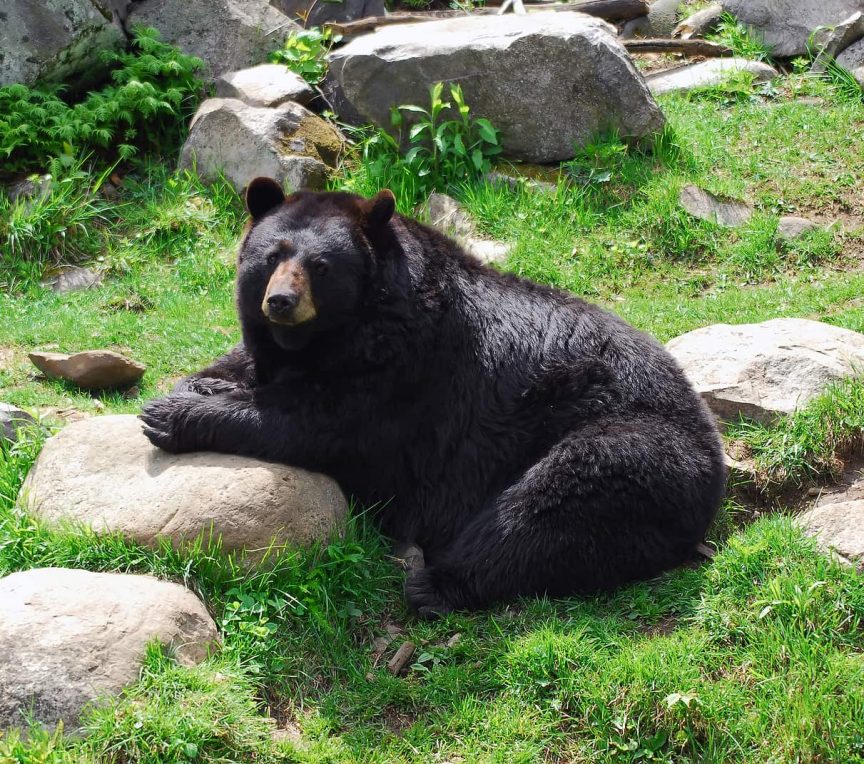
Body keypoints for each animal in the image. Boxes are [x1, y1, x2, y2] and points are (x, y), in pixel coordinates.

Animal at [140, 178, 727, 617]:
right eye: (271, 256)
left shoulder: (406, 373)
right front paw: (200, 383)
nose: (280, 301)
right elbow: (249, 364)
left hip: (633, 447)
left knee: (547, 508)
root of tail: (713, 461)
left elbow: (318, 423)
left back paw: (437, 582)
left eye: (321, 267)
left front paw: (169, 414)